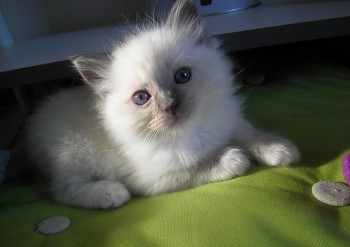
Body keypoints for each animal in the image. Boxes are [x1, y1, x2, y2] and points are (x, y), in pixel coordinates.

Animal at [27, 0, 300, 209]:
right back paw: (110, 193)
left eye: (182, 76)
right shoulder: (155, 177)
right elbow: (196, 167)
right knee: (62, 190)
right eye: (141, 98)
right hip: (72, 155)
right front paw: (233, 159)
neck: (195, 132)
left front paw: (280, 149)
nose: (170, 106)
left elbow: (252, 135)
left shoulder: (229, 123)